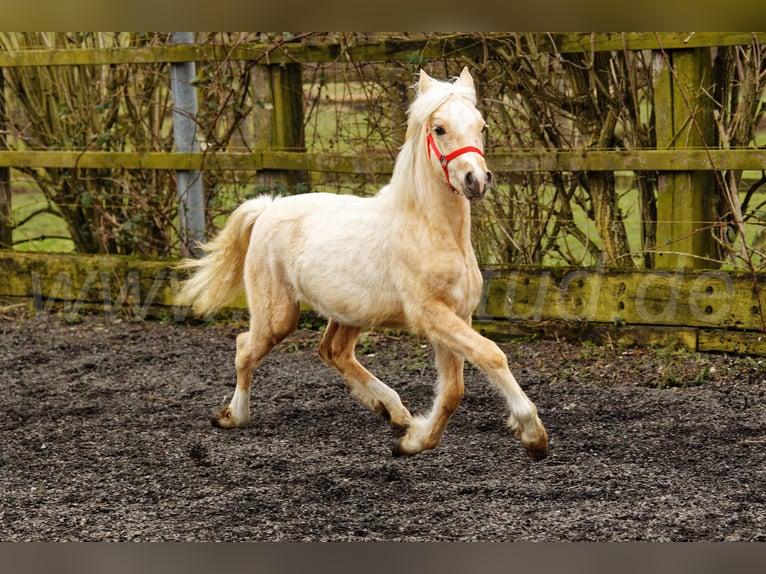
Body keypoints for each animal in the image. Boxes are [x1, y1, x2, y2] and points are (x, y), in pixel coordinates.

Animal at [178, 68, 552, 464]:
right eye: (439, 129)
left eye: (481, 126)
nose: (476, 180)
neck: (432, 230)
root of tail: (267, 208)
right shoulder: (431, 314)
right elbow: (491, 356)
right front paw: (532, 435)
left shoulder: (457, 315)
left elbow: (453, 390)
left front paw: (413, 441)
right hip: (277, 316)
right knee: (244, 348)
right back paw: (233, 416)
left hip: (350, 312)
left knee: (332, 351)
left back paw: (395, 413)